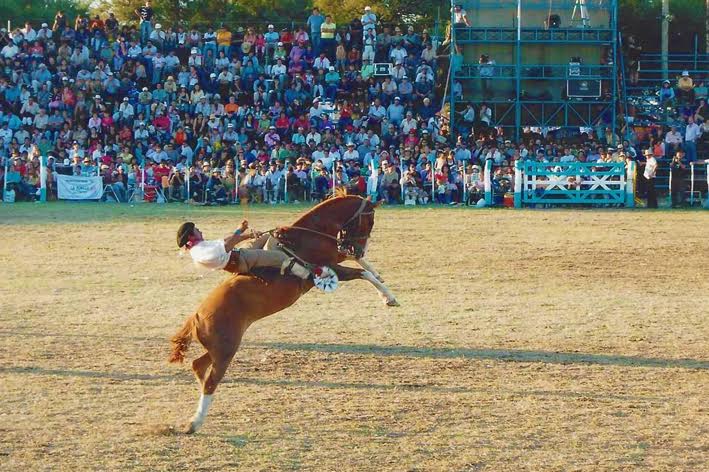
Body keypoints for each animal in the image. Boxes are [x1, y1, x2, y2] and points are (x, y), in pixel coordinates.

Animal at [168, 194, 396, 434]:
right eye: (369, 222)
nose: (360, 249)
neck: (306, 235)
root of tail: (195, 317)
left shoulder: (337, 257)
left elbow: (357, 263)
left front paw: (378, 275)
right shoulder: (329, 267)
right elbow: (362, 273)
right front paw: (389, 298)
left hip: (217, 348)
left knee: (198, 366)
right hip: (226, 350)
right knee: (211, 381)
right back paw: (194, 422)